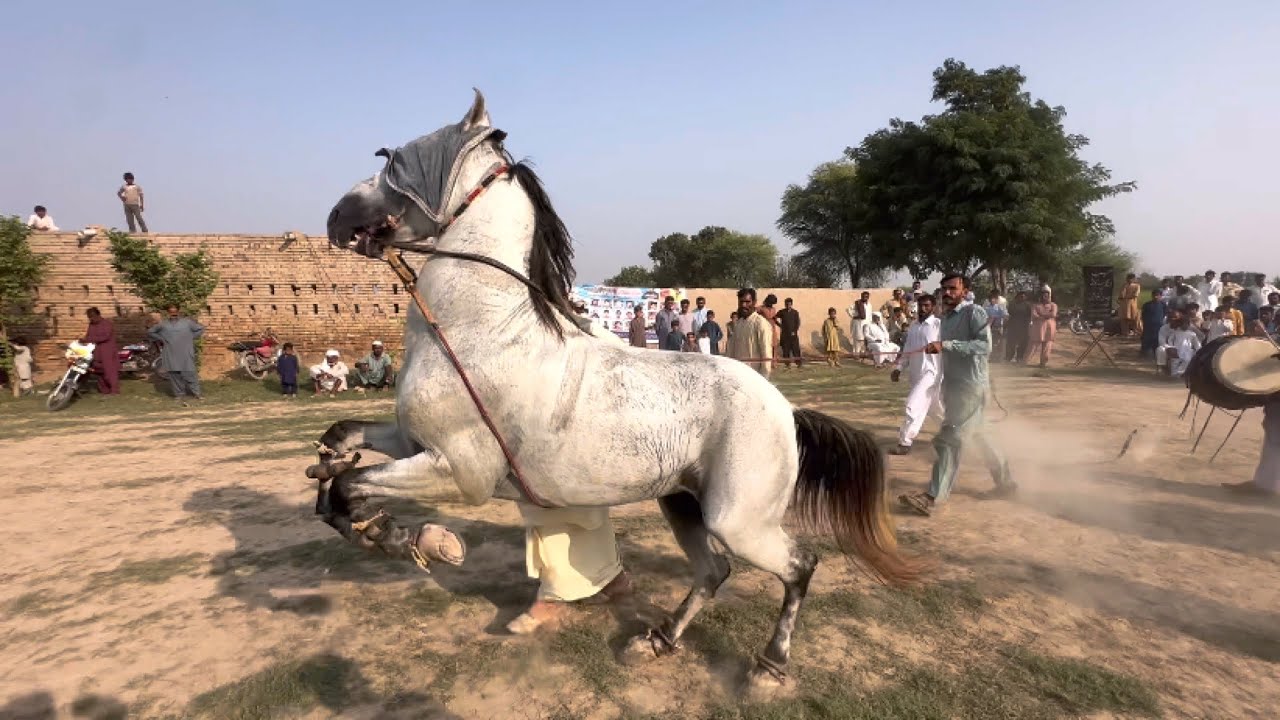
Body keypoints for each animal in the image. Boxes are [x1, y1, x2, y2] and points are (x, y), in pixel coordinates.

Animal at [312, 89, 919, 691]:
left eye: (392, 159)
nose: (336, 216)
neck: (477, 327)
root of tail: (787, 410)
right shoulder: (414, 442)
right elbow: (344, 454)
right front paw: (340, 479)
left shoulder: (458, 471)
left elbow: (351, 487)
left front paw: (400, 537)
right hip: (682, 502)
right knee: (714, 570)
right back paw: (658, 641)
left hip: (738, 521)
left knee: (798, 566)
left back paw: (768, 667)